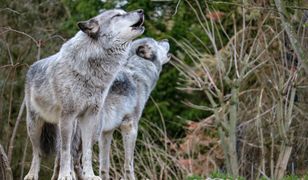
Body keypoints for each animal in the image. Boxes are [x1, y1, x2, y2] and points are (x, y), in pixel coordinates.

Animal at [24, 8, 144, 180]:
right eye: (118, 15)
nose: (141, 11)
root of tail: (32, 66)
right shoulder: (68, 116)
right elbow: (66, 151)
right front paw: (65, 176)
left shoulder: (89, 117)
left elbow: (87, 152)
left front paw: (90, 175)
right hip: (35, 125)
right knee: (38, 152)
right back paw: (32, 175)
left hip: (73, 127)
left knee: (66, 155)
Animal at [98, 37, 171, 179]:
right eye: (156, 42)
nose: (166, 39)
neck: (136, 71)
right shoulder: (130, 126)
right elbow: (129, 165)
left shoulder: (106, 132)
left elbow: (104, 167)